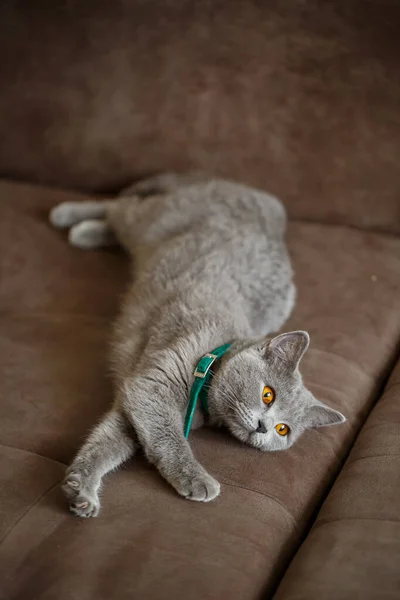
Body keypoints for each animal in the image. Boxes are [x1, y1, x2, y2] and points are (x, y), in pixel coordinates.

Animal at [49, 172, 344, 516]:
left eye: (283, 429)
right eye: (267, 394)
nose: (263, 427)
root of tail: (268, 204)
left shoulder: (136, 396)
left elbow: (109, 441)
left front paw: (80, 487)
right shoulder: (154, 386)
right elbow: (169, 439)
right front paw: (198, 480)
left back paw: (87, 230)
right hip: (157, 218)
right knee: (120, 205)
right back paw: (71, 219)